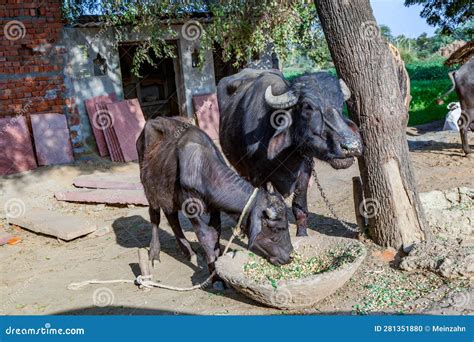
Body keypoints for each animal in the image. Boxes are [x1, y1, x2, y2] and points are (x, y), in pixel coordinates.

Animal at [136, 116, 292, 280]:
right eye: (277, 229)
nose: (289, 256)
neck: (202, 168)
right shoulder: (191, 207)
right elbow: (206, 236)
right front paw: (215, 276)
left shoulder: (215, 208)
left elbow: (216, 233)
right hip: (149, 189)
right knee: (155, 216)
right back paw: (154, 253)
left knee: (171, 217)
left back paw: (189, 252)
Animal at [218, 68, 362, 236]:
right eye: (307, 106)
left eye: (340, 104)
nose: (351, 146)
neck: (286, 156)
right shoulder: (257, 177)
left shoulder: (305, 171)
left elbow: (299, 207)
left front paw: (302, 234)